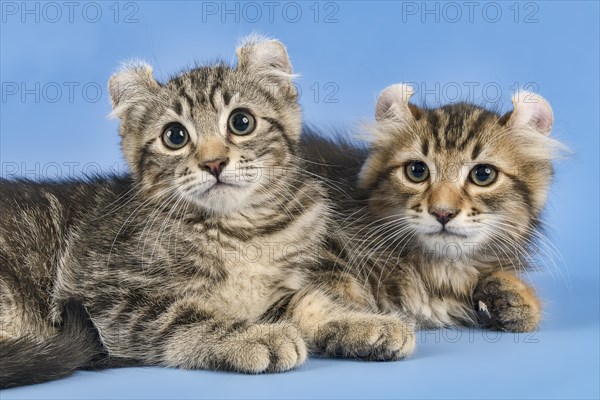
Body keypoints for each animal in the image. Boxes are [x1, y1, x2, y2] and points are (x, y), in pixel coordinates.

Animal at [0, 39, 414, 388]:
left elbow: (304, 301)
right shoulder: (102, 295)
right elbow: (182, 315)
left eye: (241, 122)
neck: (241, 230)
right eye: (175, 136)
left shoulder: (277, 285)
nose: (214, 163)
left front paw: (362, 324)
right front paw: (255, 335)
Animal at [302, 84, 564, 334]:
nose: (443, 212)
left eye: (483, 174)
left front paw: (514, 296)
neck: (439, 269)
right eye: (417, 171)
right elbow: (318, 296)